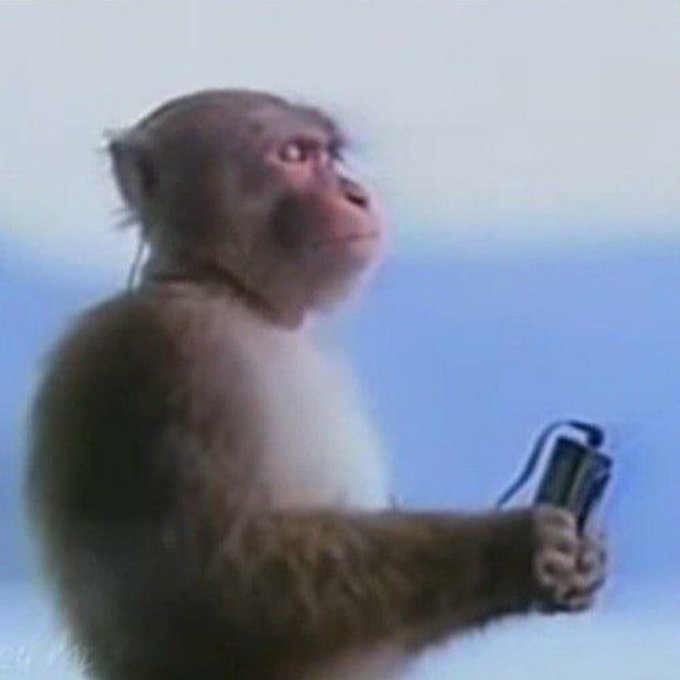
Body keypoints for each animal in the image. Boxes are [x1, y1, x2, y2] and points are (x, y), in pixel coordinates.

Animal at [26, 90, 607, 680]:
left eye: (329, 154)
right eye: (293, 155)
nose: (355, 193)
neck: (230, 294)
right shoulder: (168, 354)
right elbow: (206, 595)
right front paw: (516, 547)